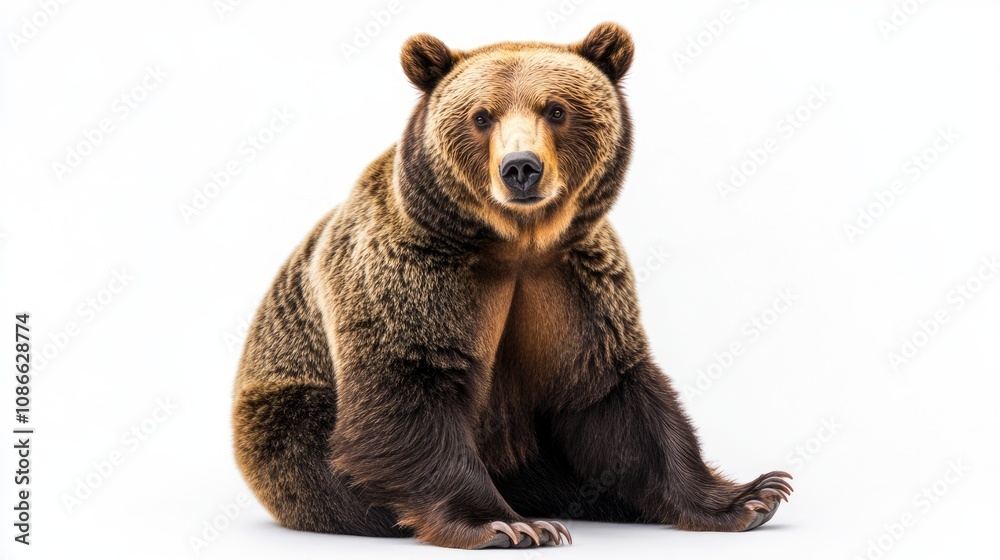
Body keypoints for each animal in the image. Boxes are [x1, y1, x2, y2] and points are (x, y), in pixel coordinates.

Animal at [232, 22, 792, 550]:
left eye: (556, 109)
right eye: (482, 116)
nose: (521, 167)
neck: (516, 244)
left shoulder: (572, 282)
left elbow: (612, 393)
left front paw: (752, 496)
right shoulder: (413, 272)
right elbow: (407, 387)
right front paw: (507, 524)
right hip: (285, 409)